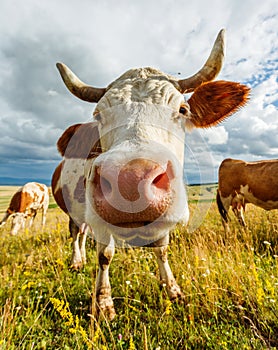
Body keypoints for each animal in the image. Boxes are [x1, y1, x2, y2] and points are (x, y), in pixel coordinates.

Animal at [51, 30, 250, 320]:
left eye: (182, 110)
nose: (130, 181)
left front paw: (173, 290)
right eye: (98, 115)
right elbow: (105, 255)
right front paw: (103, 304)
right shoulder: (100, 220)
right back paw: (77, 261)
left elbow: (162, 249)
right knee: (77, 232)